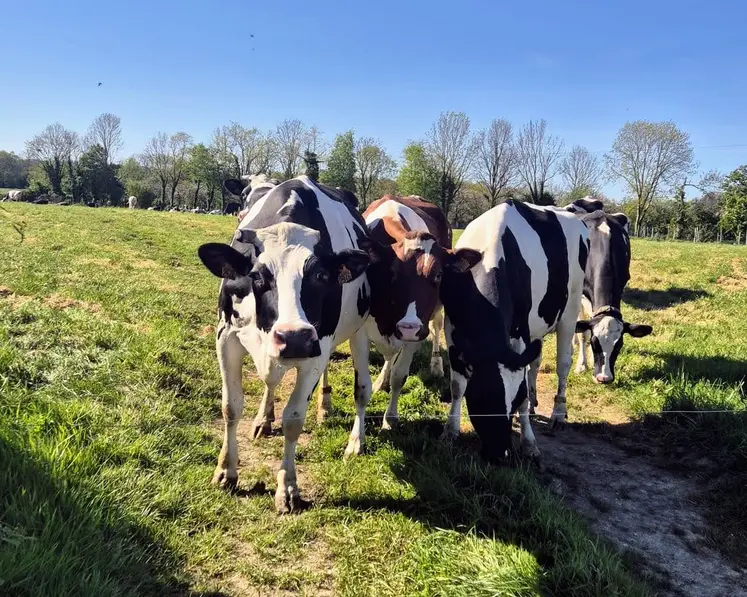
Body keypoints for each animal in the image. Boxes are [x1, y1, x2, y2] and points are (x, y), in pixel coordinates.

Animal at [197, 175, 374, 513]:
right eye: (257, 276)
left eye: (320, 275)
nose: (293, 338)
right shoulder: (226, 336)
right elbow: (230, 407)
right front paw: (226, 471)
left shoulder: (317, 347)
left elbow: (293, 419)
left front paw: (288, 487)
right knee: (271, 381)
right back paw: (264, 420)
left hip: (356, 330)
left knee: (361, 390)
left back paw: (350, 437)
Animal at [439, 200, 589, 463]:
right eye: (485, 397)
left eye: (514, 399)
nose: (500, 454)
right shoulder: (453, 329)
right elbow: (457, 386)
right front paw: (450, 431)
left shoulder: (521, 331)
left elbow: (524, 388)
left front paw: (529, 443)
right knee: (536, 361)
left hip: (570, 308)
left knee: (563, 364)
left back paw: (558, 413)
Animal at [566, 204, 653, 383]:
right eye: (594, 342)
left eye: (619, 345)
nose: (603, 377)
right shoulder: (581, 294)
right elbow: (583, 332)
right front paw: (582, 365)